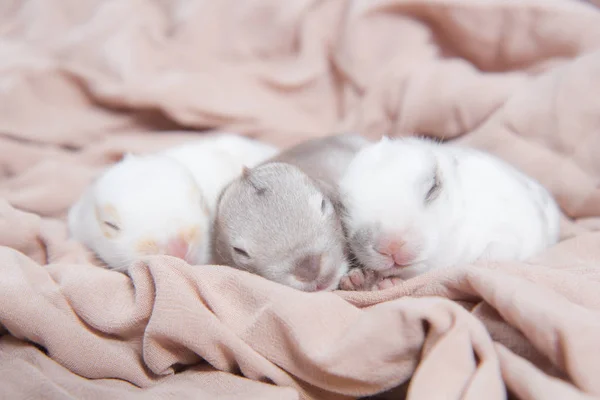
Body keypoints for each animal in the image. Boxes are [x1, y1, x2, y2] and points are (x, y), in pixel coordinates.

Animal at [340, 136, 560, 290]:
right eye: (343, 206)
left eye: (432, 188)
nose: (390, 246)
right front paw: (358, 280)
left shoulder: (505, 235)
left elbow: (488, 256)